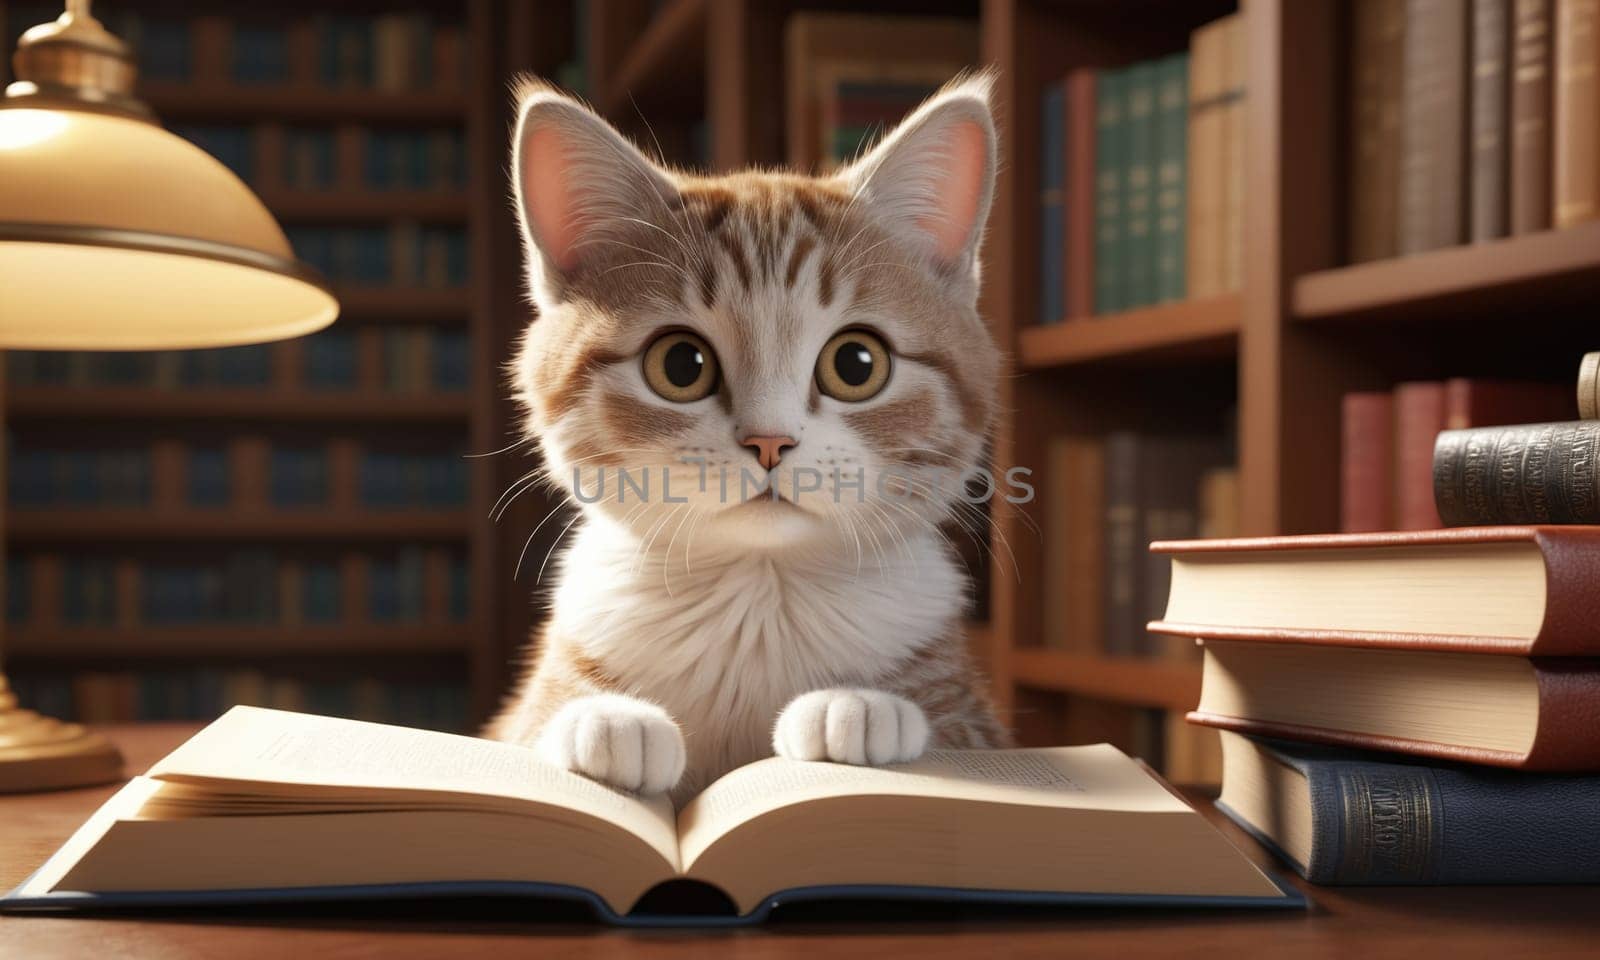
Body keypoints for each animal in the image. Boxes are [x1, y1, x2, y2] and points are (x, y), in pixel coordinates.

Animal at [486, 75, 1011, 800]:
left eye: (857, 364)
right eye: (680, 365)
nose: (769, 442)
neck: (759, 598)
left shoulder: (978, 718)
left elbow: (960, 733)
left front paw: (858, 706)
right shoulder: (514, 715)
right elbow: (528, 726)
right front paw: (605, 718)